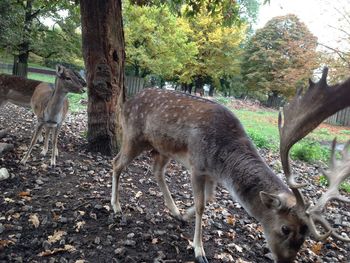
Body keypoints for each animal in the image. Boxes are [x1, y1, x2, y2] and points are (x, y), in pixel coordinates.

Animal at [111, 68, 350, 263]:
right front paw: (199, 251)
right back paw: (116, 206)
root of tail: (125, 103)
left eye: (306, 232)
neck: (222, 162)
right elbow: (201, 205)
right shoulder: (197, 166)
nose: (286, 260)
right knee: (116, 163)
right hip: (133, 136)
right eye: (285, 228)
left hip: (163, 148)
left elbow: (209, 199)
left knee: (156, 171)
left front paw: (185, 215)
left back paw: (175, 210)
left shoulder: (211, 174)